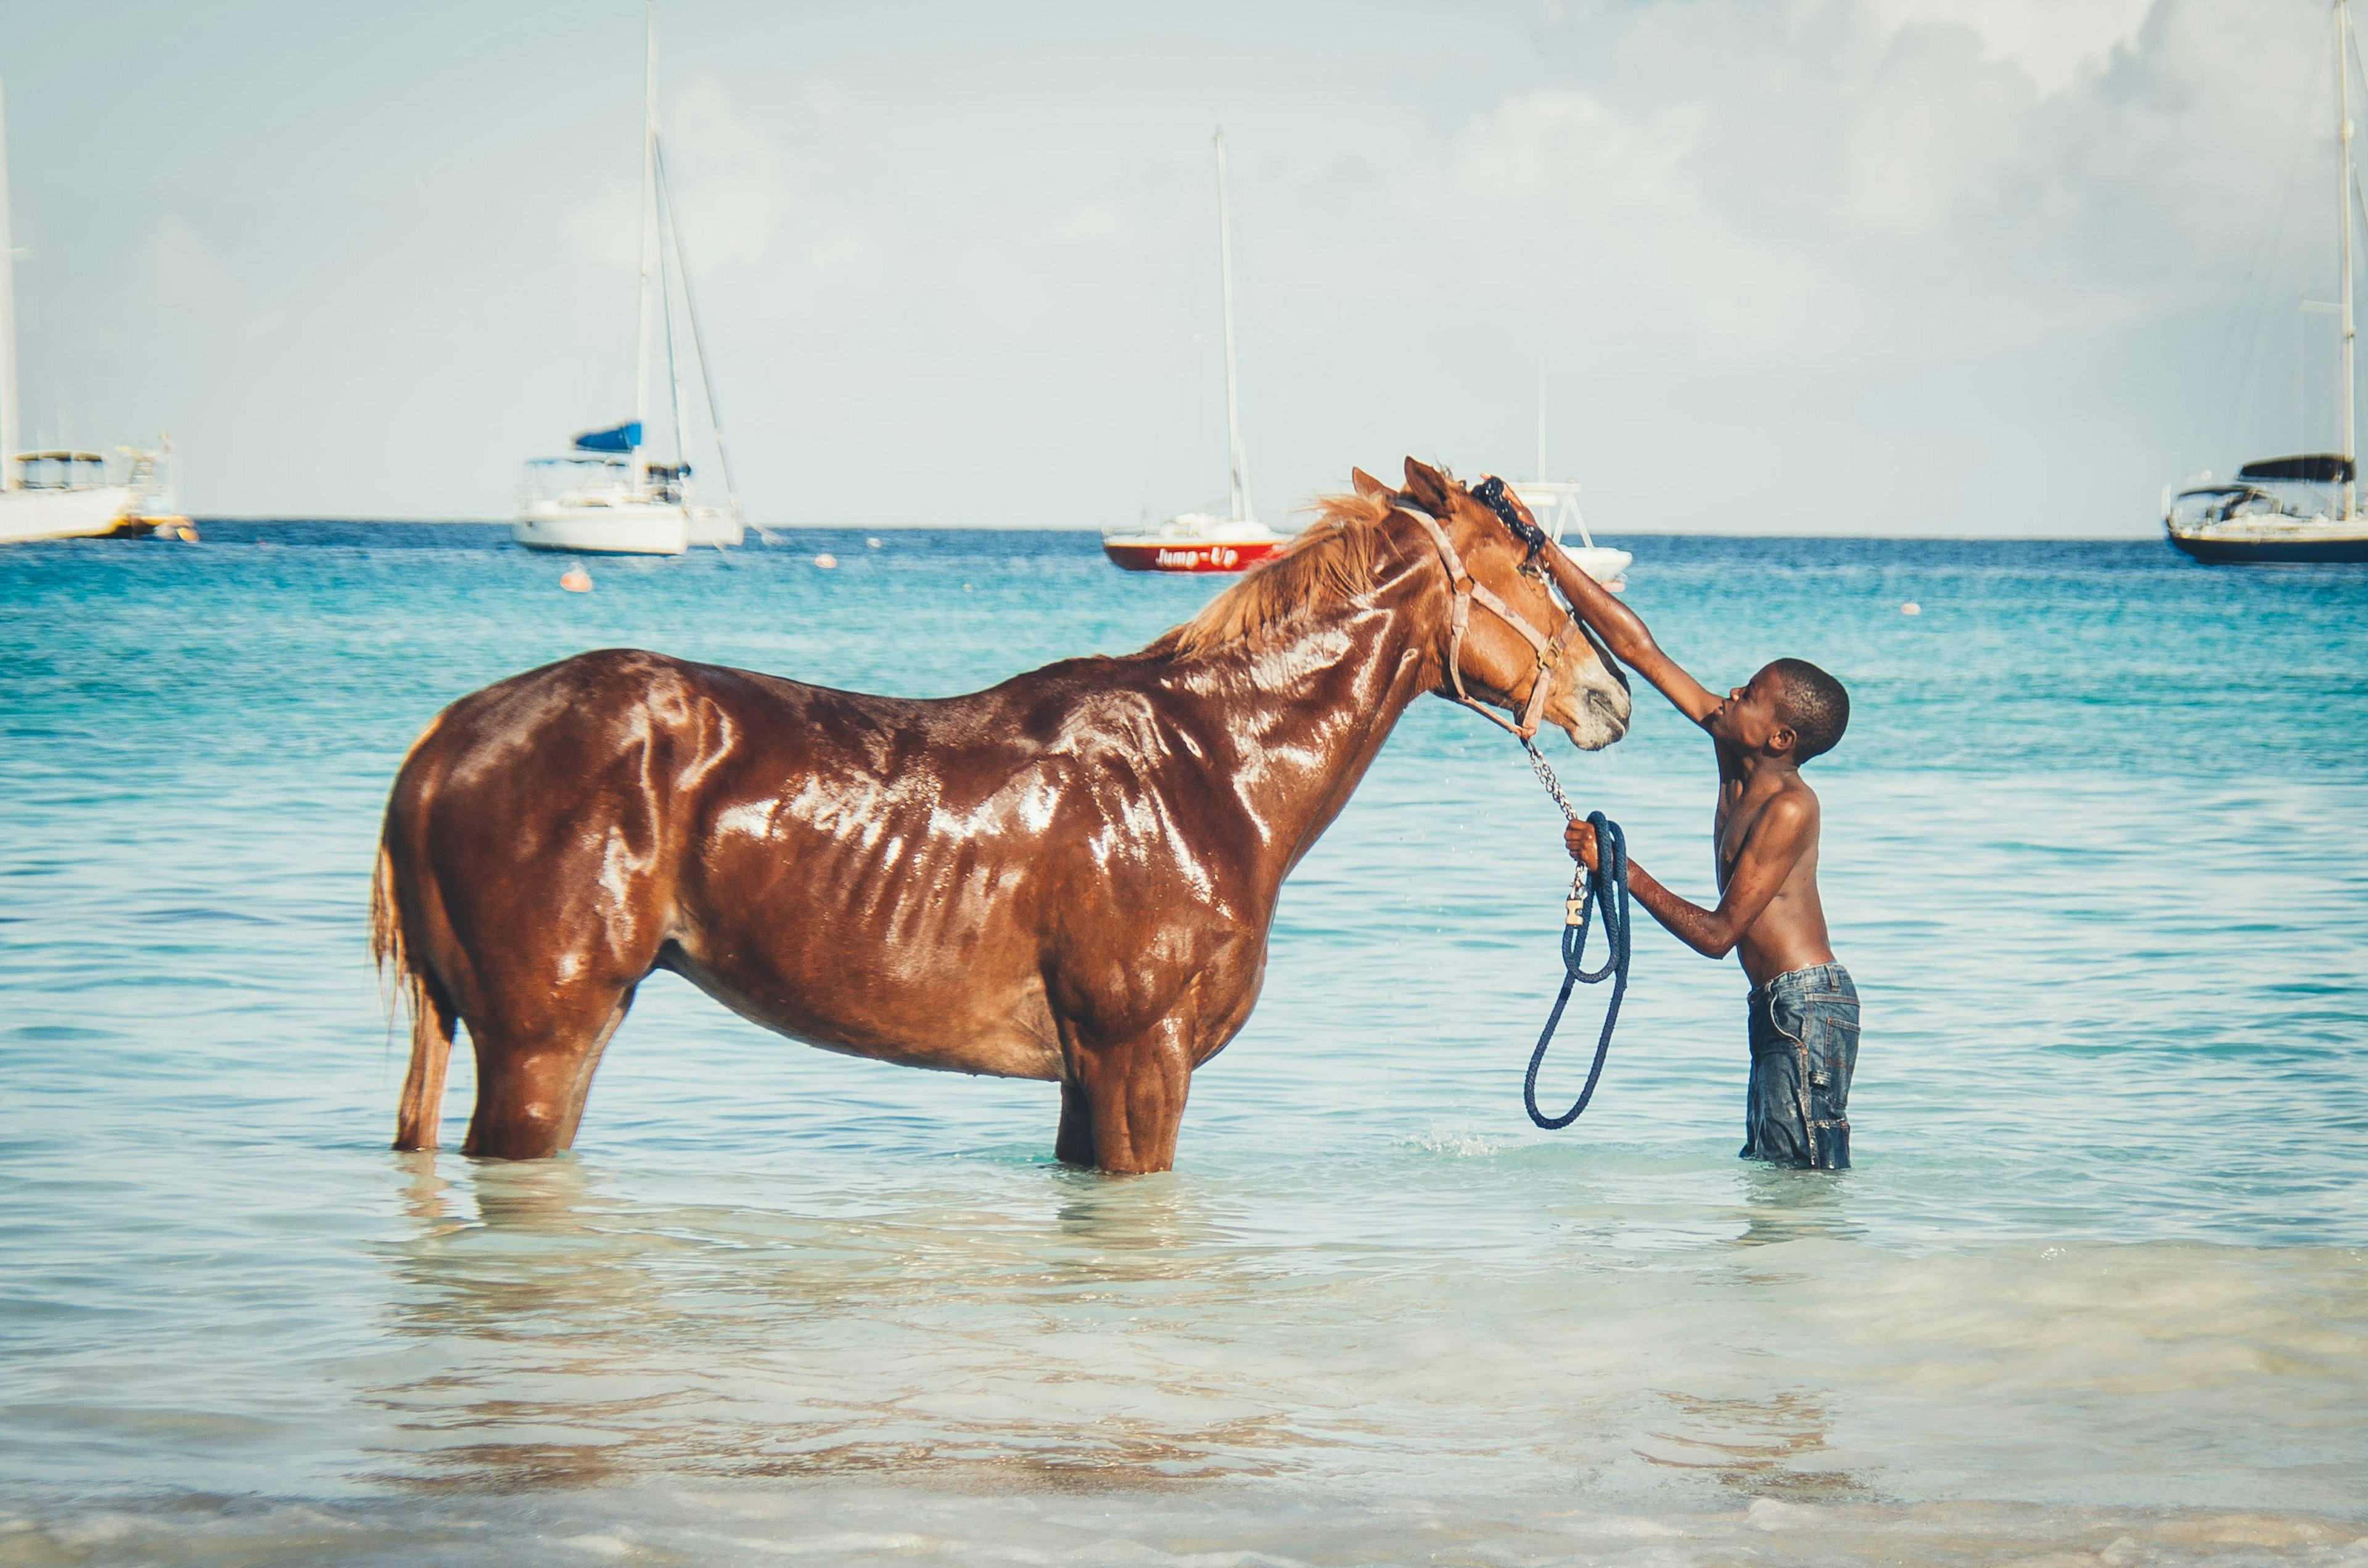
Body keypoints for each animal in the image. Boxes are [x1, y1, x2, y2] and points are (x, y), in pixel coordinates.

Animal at [369, 462, 1629, 1175]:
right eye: (1534, 563)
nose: (1611, 692)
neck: (1210, 767)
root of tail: (449, 735)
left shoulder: (1085, 1077)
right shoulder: (1139, 1058)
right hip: (545, 1041)